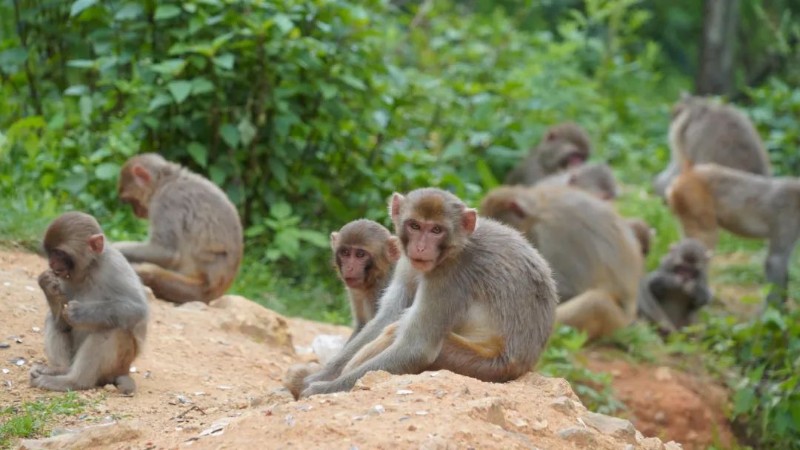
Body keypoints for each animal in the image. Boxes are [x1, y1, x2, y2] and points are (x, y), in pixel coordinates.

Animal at [31, 211, 149, 394]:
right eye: (51, 253)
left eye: (60, 253)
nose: (51, 263)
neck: (89, 269)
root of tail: (125, 370)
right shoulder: (63, 279)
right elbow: (62, 322)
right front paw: (47, 285)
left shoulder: (114, 266)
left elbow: (138, 309)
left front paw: (79, 313)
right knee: (52, 319)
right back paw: (59, 369)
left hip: (119, 363)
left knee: (112, 328)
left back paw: (73, 382)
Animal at [114, 153, 242, 304]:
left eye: (130, 201)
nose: (136, 213)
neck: (166, 181)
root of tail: (214, 291)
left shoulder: (166, 201)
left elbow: (166, 252)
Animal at [290, 188, 560, 400]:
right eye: (415, 225)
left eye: (436, 230)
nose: (420, 247)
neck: (455, 247)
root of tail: (525, 366)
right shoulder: (406, 261)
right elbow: (384, 318)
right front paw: (320, 375)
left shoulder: (450, 275)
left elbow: (417, 348)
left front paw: (322, 389)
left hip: (482, 366)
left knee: (400, 332)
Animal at [668, 160, 800, 304]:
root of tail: (688, 173)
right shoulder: (788, 215)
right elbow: (776, 261)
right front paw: (774, 307)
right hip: (694, 200)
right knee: (705, 240)